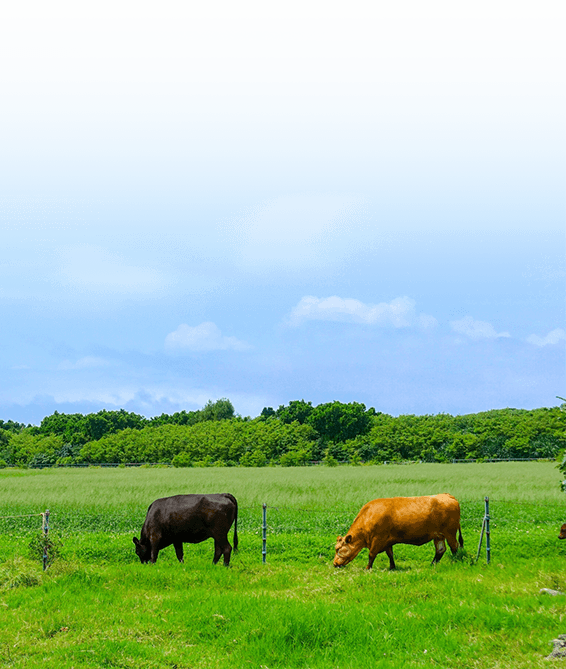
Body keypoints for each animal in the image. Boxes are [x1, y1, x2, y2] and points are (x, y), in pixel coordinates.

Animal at [336, 490, 464, 568]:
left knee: (454, 547)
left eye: (338, 549)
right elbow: (390, 554)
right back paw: (432, 564)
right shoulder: (387, 541)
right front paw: (392, 567)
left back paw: (454, 561)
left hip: (450, 533)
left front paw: (367, 568)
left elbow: (371, 555)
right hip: (438, 535)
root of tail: (447, 495)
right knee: (440, 550)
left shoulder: (378, 539)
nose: (334, 563)